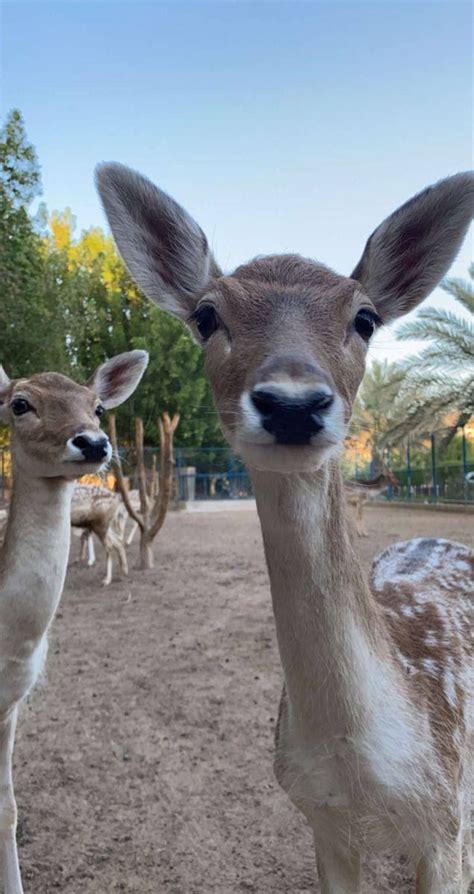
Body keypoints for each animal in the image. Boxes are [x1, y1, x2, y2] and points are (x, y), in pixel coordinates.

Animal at [96, 163, 474, 894]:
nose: (293, 403)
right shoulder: (322, 824)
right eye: (206, 314)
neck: (360, 770)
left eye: (365, 317)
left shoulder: (445, 822)